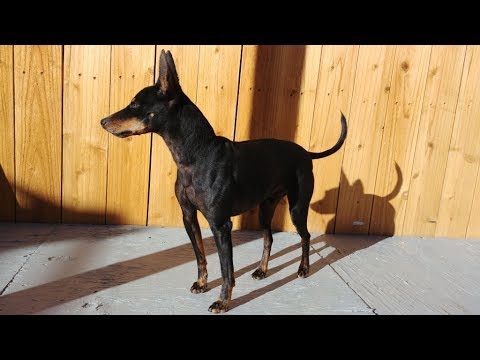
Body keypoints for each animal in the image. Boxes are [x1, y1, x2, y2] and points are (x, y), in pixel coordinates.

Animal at [100, 49, 348, 314]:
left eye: (135, 103)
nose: (103, 121)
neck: (196, 155)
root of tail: (304, 152)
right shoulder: (189, 216)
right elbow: (200, 256)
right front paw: (201, 283)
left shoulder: (220, 224)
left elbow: (226, 268)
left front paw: (223, 301)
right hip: (265, 208)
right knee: (269, 237)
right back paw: (262, 271)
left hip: (297, 208)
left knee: (306, 236)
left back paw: (303, 268)